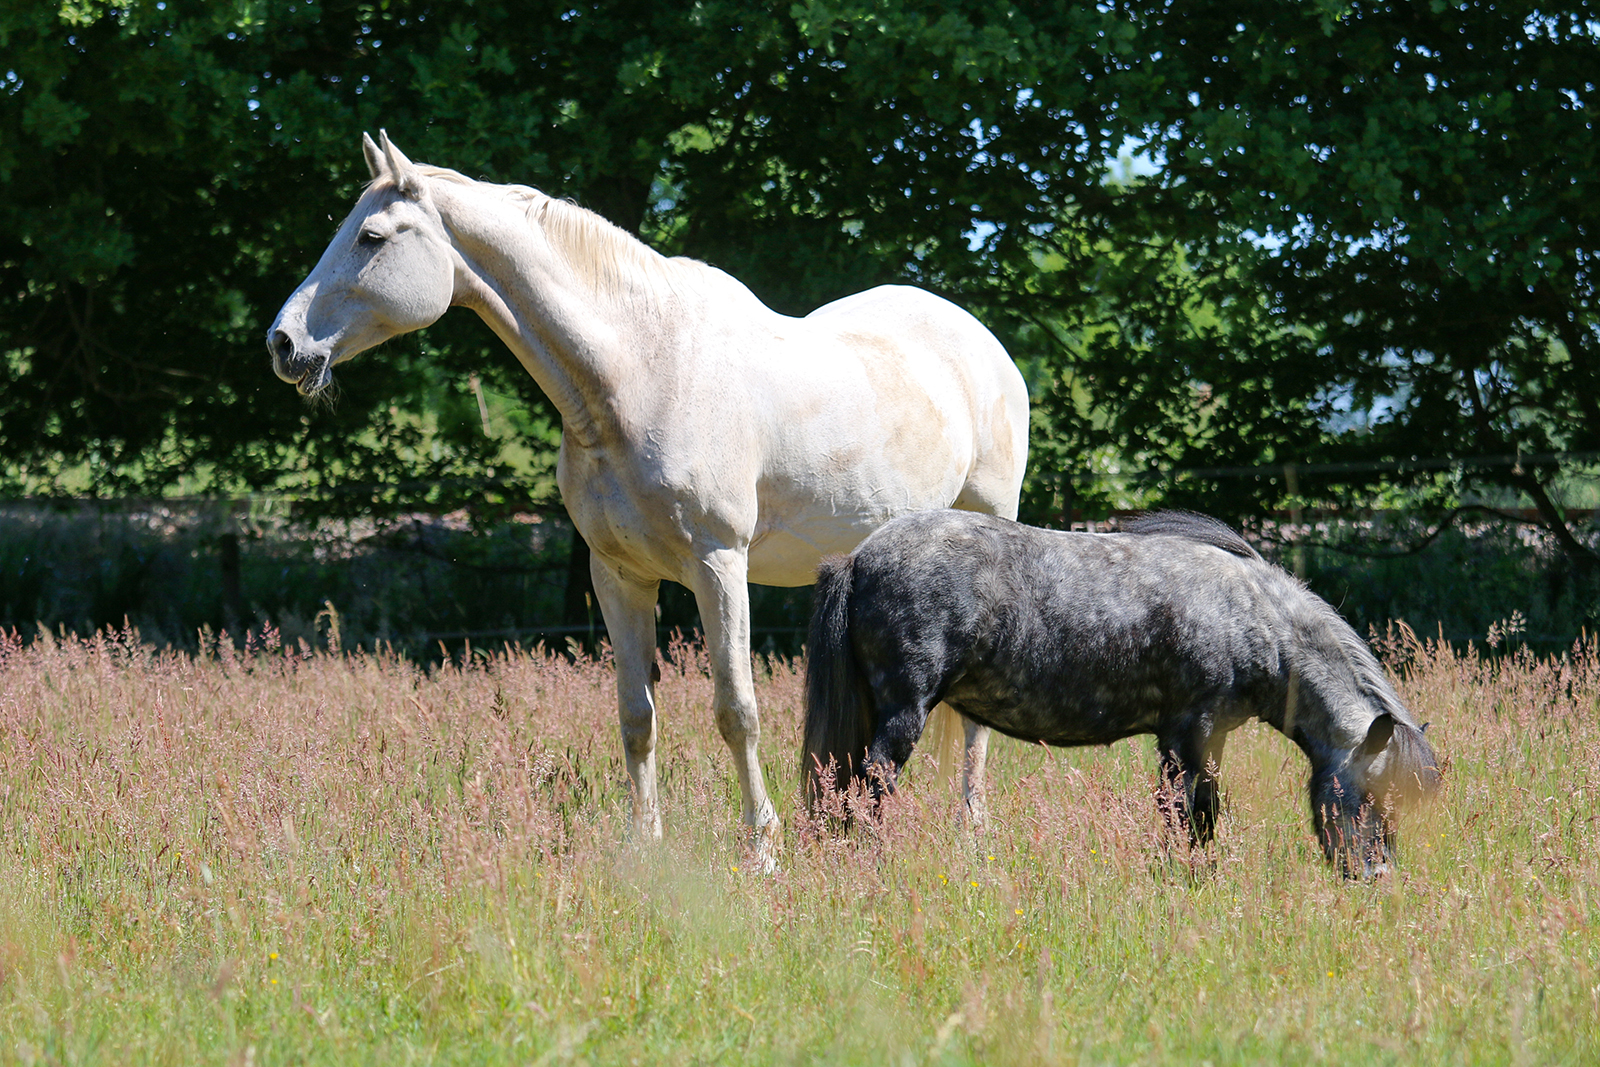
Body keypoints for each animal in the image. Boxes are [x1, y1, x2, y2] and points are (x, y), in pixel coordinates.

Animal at [268, 135, 1030, 870]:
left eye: (371, 236)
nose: (284, 343)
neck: (640, 373)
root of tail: (983, 343)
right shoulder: (618, 574)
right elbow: (636, 714)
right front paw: (644, 845)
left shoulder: (718, 565)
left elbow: (736, 710)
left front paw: (762, 847)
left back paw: (971, 829)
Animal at [806, 508, 1446, 876]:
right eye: (1372, 798)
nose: (1376, 878)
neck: (1254, 617)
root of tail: (858, 558)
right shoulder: (1190, 735)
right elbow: (1190, 815)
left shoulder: (1199, 739)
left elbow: (1195, 814)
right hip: (903, 714)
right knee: (870, 787)